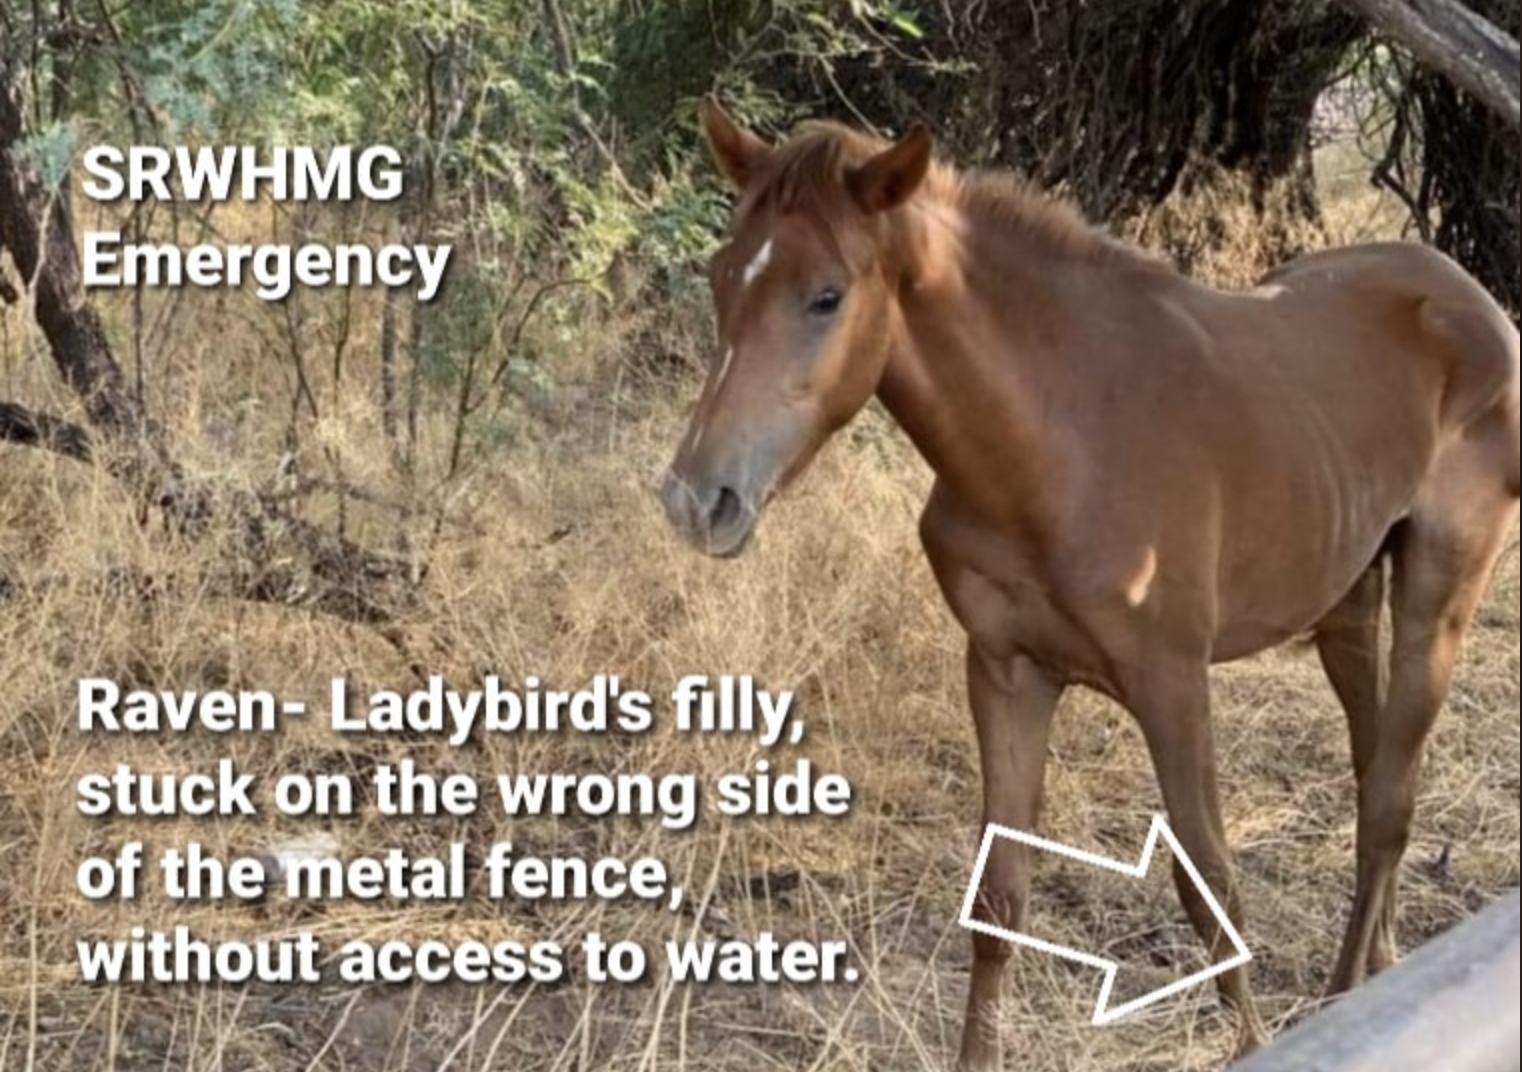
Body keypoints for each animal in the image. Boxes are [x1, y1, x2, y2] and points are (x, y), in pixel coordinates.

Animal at [658, 96, 1521, 1070]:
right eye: (722, 277)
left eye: (826, 295)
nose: (697, 498)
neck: (1055, 444)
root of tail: (1466, 294)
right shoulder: (1006, 672)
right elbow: (999, 898)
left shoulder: (1172, 681)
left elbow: (1210, 886)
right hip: (1347, 603)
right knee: (1377, 770)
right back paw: (1379, 969)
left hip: (1439, 595)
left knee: (1388, 804)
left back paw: (1347, 996)